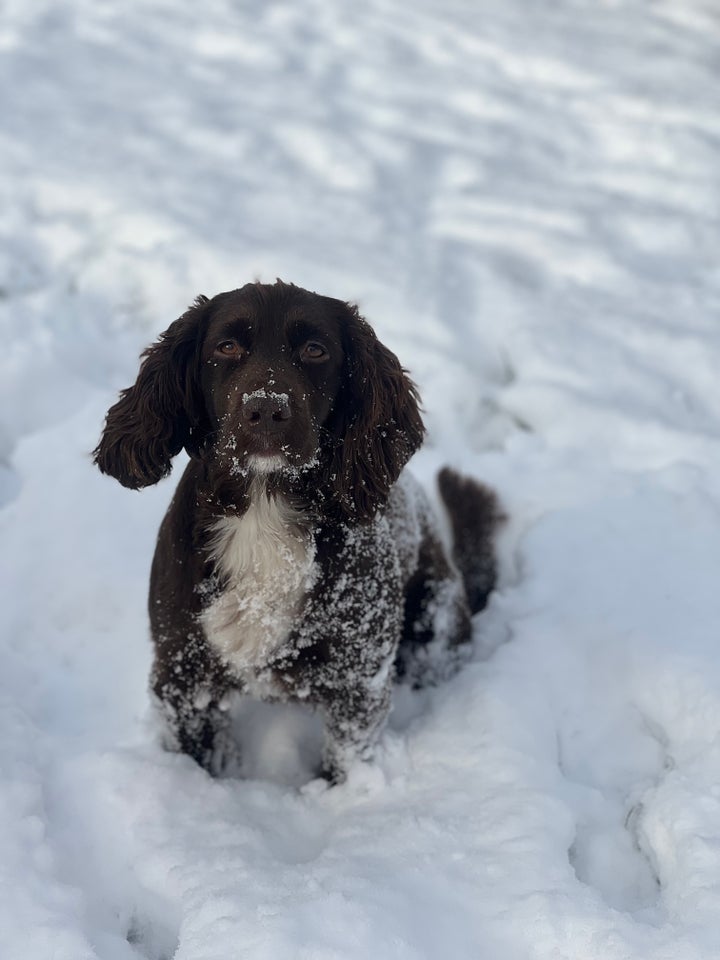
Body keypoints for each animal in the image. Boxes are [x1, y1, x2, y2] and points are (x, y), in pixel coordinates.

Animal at [94, 278, 500, 780]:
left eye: (314, 349)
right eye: (226, 346)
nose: (267, 410)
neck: (263, 508)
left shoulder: (359, 678)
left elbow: (346, 761)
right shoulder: (182, 669)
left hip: (434, 622)